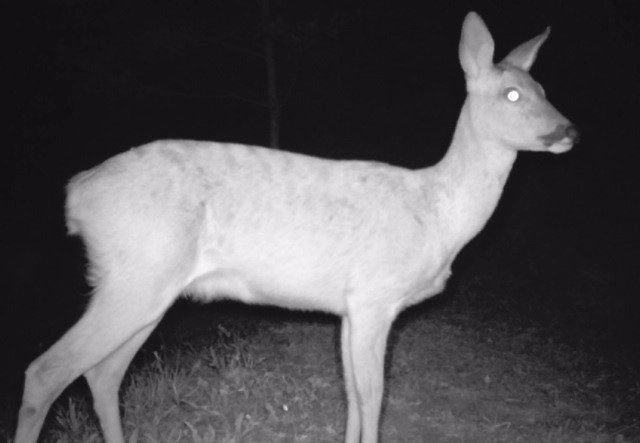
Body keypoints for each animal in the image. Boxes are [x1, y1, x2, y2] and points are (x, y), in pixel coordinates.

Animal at [15, 10, 576, 443]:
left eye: (544, 88)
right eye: (511, 95)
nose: (569, 129)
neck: (438, 213)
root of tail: (78, 194)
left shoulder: (350, 307)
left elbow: (352, 395)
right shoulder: (375, 295)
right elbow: (374, 396)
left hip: (148, 287)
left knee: (102, 374)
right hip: (138, 272)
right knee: (46, 370)